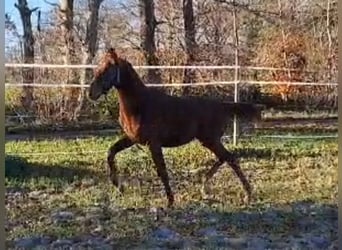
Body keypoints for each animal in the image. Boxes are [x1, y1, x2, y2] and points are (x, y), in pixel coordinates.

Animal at [89, 47, 264, 207]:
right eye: (98, 68)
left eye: (107, 70)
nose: (91, 93)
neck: (140, 105)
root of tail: (221, 105)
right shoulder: (132, 139)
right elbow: (111, 152)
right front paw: (118, 186)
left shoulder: (154, 143)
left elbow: (162, 171)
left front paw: (170, 201)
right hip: (207, 140)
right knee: (225, 158)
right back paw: (205, 187)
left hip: (210, 140)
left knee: (230, 158)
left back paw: (246, 194)